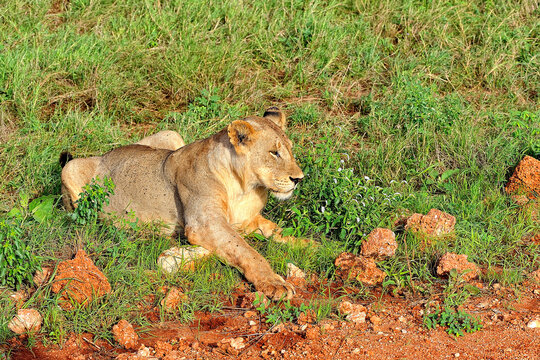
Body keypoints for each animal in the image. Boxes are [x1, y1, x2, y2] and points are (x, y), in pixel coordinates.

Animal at [60, 107, 304, 300]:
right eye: (274, 152)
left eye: (291, 150)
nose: (299, 179)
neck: (246, 188)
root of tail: (104, 154)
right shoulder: (204, 224)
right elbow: (246, 250)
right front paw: (274, 283)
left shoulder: (245, 221)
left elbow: (275, 232)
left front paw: (307, 244)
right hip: (70, 170)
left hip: (171, 134)